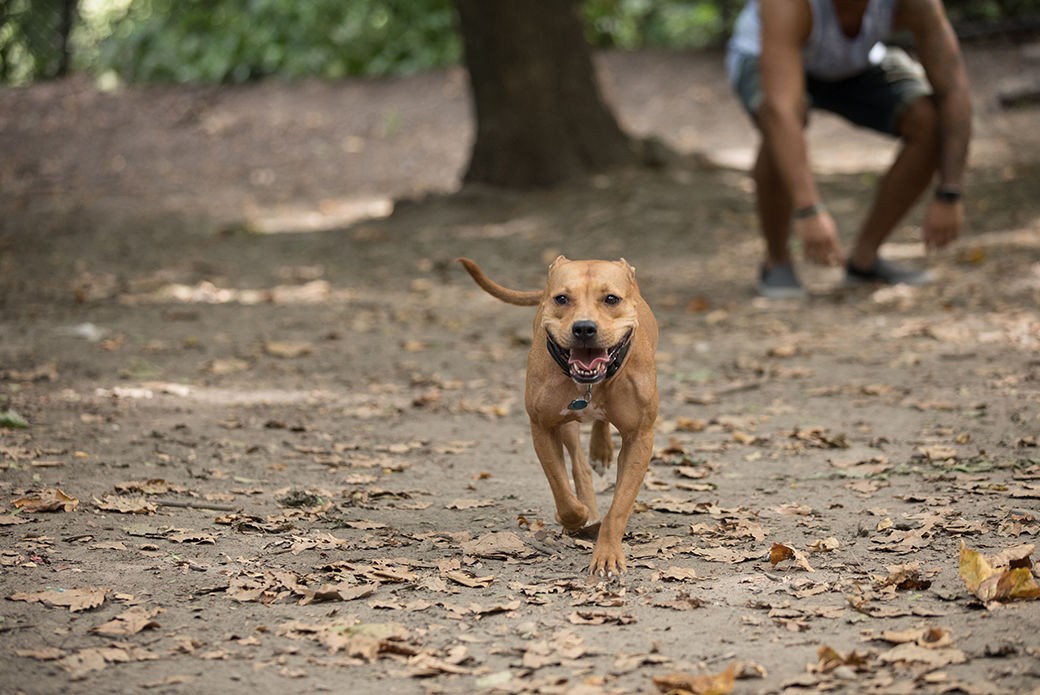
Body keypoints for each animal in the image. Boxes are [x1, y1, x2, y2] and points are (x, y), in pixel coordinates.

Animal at [457, 254, 657, 574]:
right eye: (561, 298)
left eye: (611, 299)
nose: (584, 328)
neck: (590, 386)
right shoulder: (543, 427)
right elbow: (563, 493)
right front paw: (576, 518)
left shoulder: (639, 437)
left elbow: (619, 507)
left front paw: (607, 555)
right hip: (567, 424)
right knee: (579, 464)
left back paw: (601, 452)